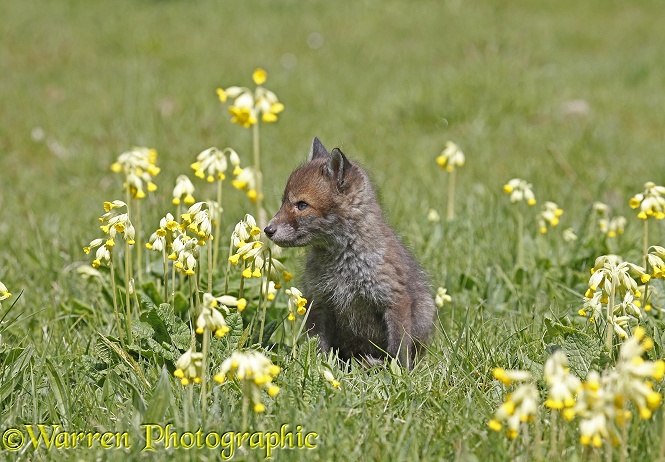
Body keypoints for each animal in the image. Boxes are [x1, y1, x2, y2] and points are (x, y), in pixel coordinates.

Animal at [264, 137, 436, 368]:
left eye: (302, 205)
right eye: (283, 202)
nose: (268, 230)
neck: (344, 262)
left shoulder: (393, 300)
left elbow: (398, 350)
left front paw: (399, 373)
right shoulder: (320, 301)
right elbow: (318, 347)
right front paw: (320, 368)